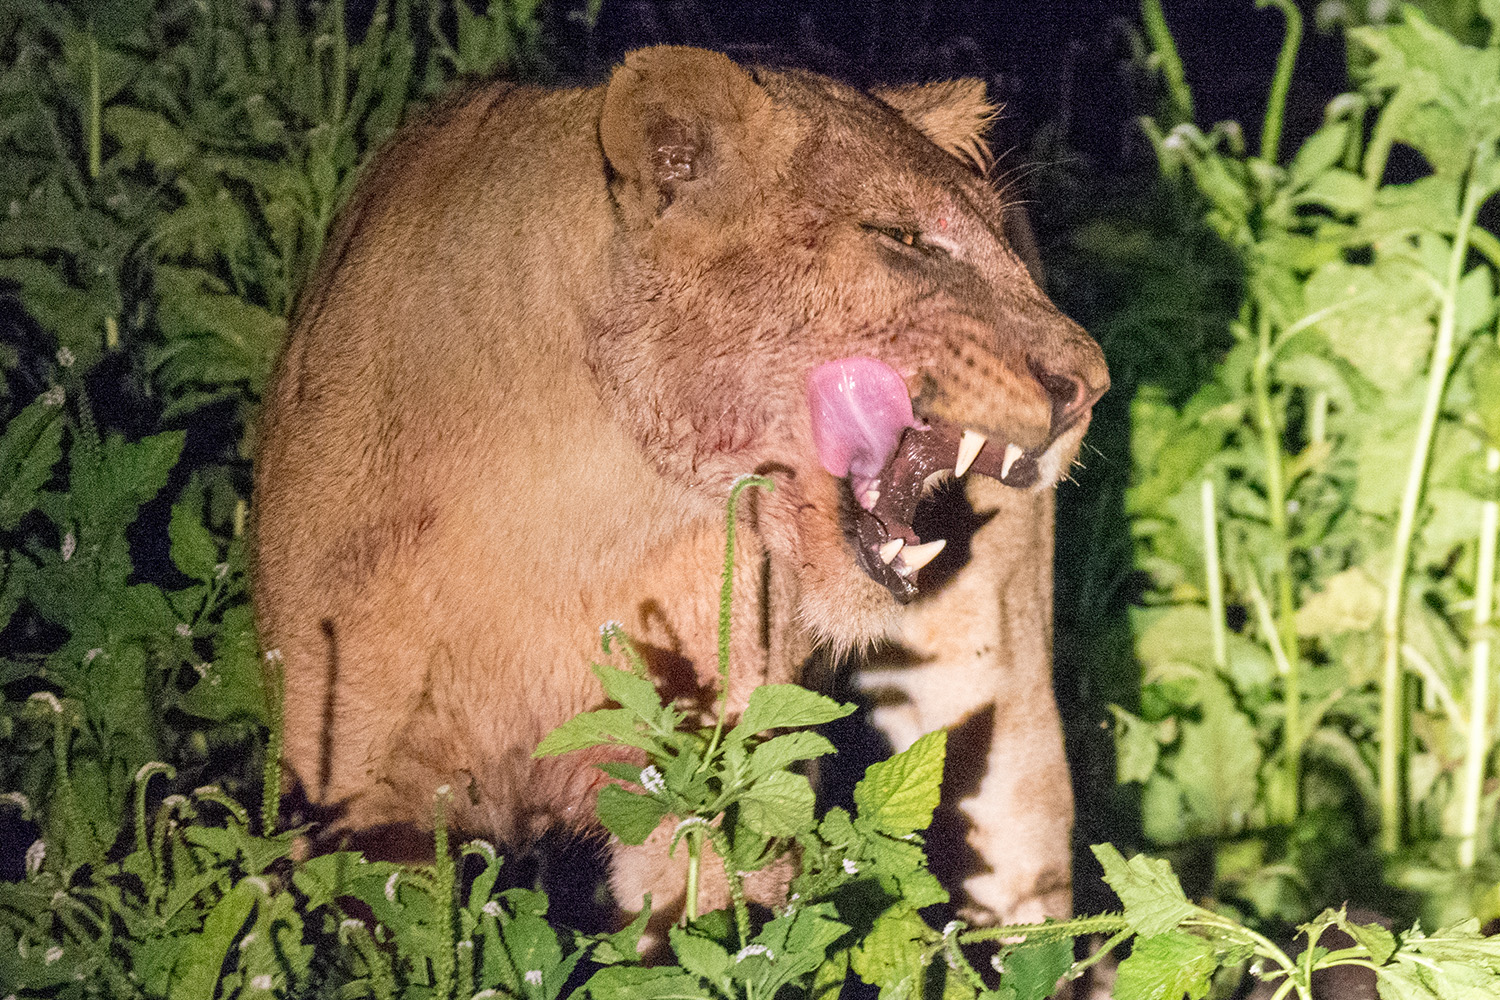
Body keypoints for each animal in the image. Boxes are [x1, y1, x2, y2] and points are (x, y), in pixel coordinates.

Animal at [251, 45, 1108, 932]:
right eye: (903, 238)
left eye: (1000, 242)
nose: (1091, 384)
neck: (584, 515)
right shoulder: (360, 791)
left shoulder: (712, 778)